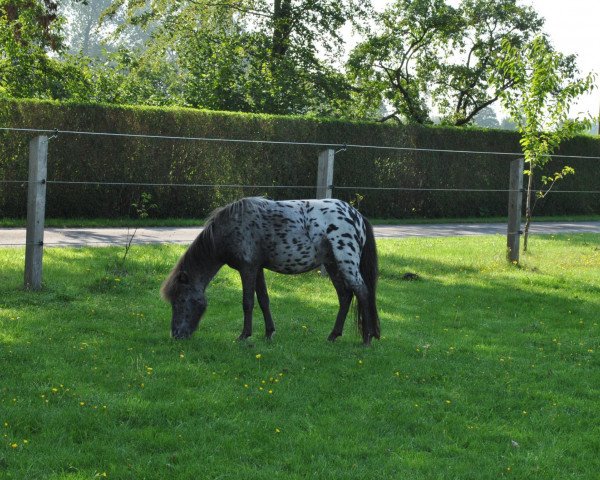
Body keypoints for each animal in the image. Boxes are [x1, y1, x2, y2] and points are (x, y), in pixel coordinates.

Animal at [161, 197, 380, 344]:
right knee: (345, 296)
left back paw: (367, 338)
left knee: (362, 292)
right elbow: (264, 300)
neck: (231, 226)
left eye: (180, 300)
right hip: (333, 265)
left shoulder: (248, 269)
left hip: (346, 263)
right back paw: (333, 336)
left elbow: (248, 302)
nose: (176, 335)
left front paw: (244, 335)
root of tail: (357, 215)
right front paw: (269, 333)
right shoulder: (258, 269)